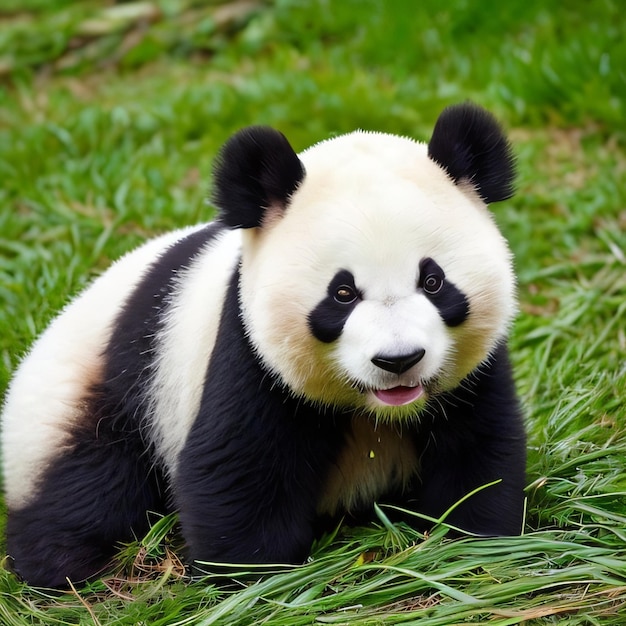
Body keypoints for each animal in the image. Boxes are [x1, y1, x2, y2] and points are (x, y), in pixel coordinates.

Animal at [2, 101, 524, 584]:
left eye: (433, 282)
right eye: (342, 293)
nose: (398, 361)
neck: (375, 410)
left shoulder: (474, 374)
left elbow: (479, 449)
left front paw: (476, 546)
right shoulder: (247, 351)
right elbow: (239, 468)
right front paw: (255, 578)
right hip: (107, 389)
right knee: (87, 484)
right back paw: (64, 563)